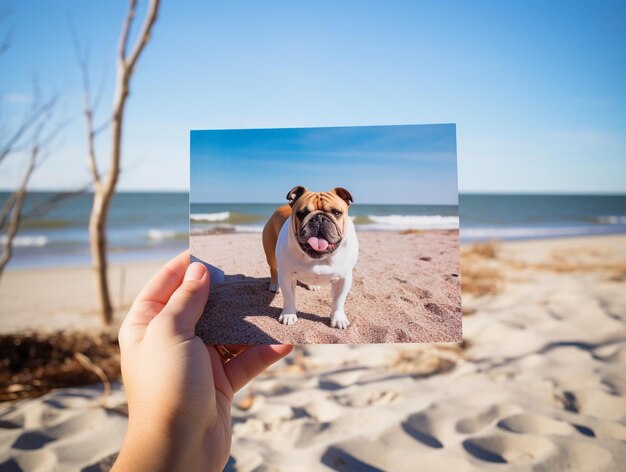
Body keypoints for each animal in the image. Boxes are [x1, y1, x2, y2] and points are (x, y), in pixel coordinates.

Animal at [260, 185, 356, 328]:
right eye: (302, 213)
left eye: (336, 213)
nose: (320, 218)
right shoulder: (287, 275)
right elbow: (289, 297)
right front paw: (288, 315)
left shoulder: (344, 278)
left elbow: (339, 300)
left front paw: (338, 318)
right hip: (271, 254)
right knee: (273, 269)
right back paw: (274, 286)